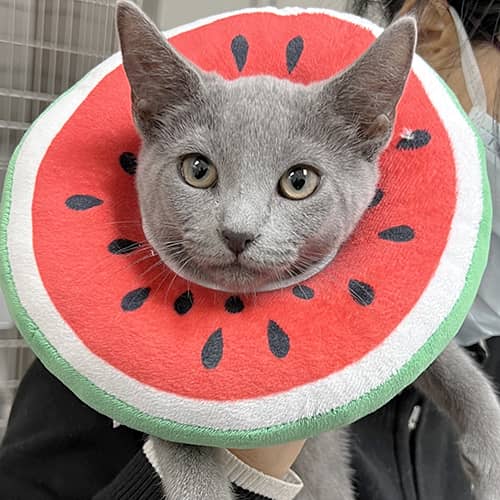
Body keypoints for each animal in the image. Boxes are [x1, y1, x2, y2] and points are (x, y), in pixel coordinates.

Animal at [115, 1, 500, 498]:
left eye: (299, 181)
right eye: (197, 170)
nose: (237, 233)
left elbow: (446, 358)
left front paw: (490, 449)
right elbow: (181, 436)